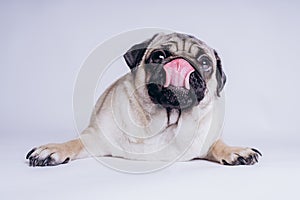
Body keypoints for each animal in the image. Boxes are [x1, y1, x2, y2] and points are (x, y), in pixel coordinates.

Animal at [27, 33, 262, 167]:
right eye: (158, 56)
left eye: (205, 63)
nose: (181, 62)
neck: (166, 120)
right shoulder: (95, 137)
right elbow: (74, 142)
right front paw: (54, 150)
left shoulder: (208, 140)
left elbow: (218, 145)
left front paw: (235, 151)